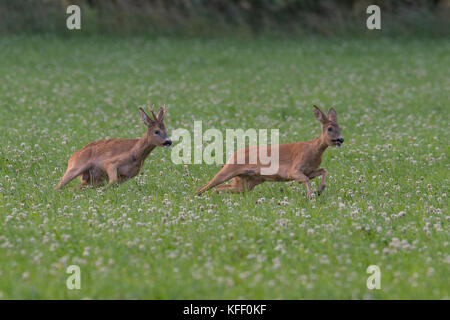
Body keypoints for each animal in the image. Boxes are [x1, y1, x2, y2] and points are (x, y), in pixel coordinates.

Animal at [197, 105, 344, 198]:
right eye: (330, 128)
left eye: (340, 128)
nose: (341, 139)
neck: (313, 151)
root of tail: (232, 154)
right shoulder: (293, 170)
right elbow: (306, 179)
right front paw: (311, 196)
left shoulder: (309, 170)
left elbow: (323, 170)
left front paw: (320, 190)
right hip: (229, 170)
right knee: (205, 186)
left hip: (245, 183)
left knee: (220, 187)